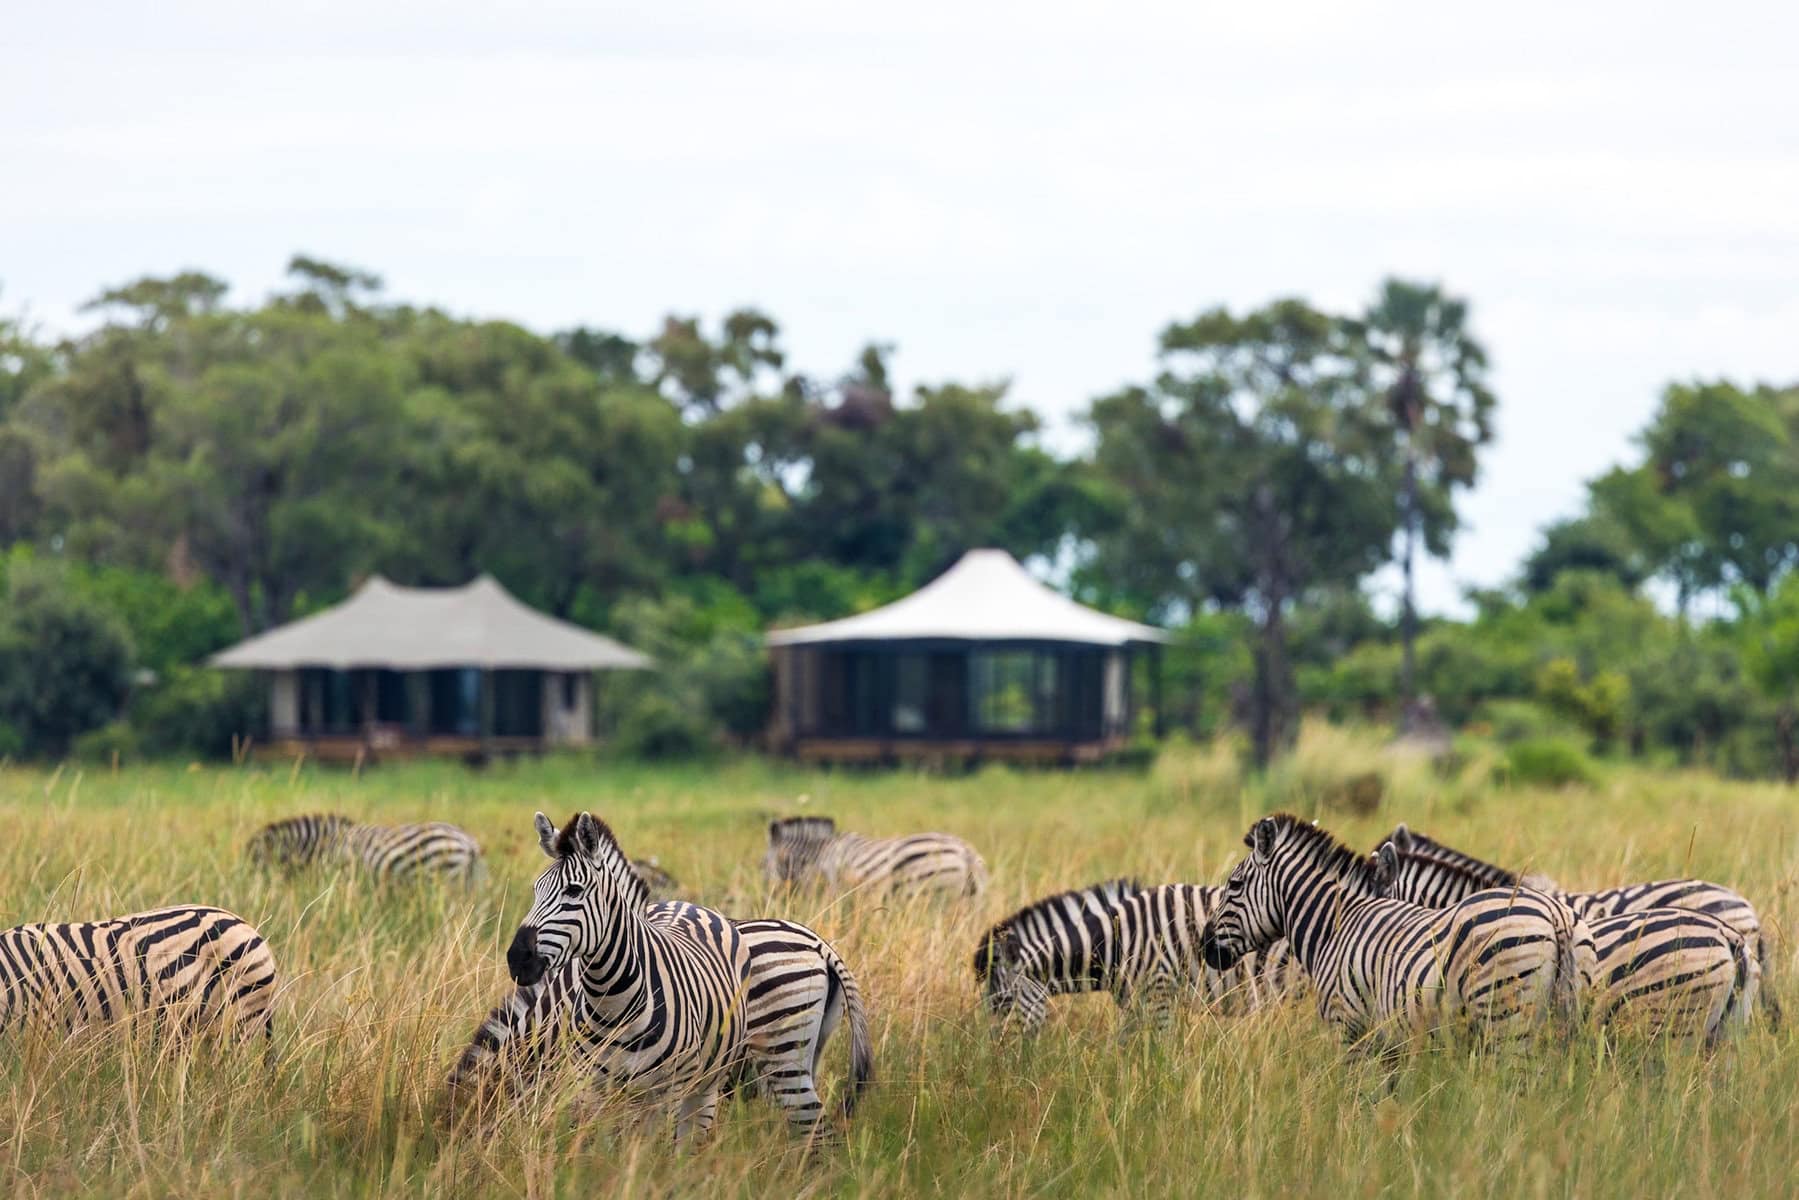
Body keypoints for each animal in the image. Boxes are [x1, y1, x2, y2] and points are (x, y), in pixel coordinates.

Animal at [502, 811, 752, 1140]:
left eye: (574, 890)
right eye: (535, 891)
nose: (517, 959)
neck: (613, 1001)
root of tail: (685, 903)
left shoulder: (665, 1092)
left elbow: (648, 1153)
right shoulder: (594, 1087)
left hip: (706, 1084)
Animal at [765, 816, 986, 898]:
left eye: (762, 864)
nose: (769, 896)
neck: (818, 854)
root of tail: (965, 851)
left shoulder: (831, 887)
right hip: (968, 899)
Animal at [1198, 814, 1582, 1052]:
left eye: (1235, 884)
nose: (1205, 947)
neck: (1336, 925)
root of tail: (1554, 914)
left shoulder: (1348, 1025)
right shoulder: (1391, 1041)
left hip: (1505, 1016)